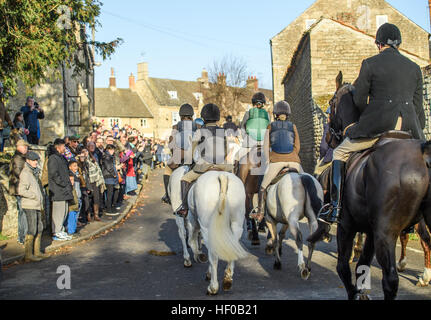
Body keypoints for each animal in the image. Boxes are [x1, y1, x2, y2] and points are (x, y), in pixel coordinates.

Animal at [314, 71, 431, 298]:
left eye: (331, 103)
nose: (329, 139)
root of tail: (423, 154)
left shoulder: (347, 225)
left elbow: (343, 267)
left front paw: (355, 293)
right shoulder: (370, 230)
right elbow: (363, 264)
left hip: (386, 232)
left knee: (391, 278)